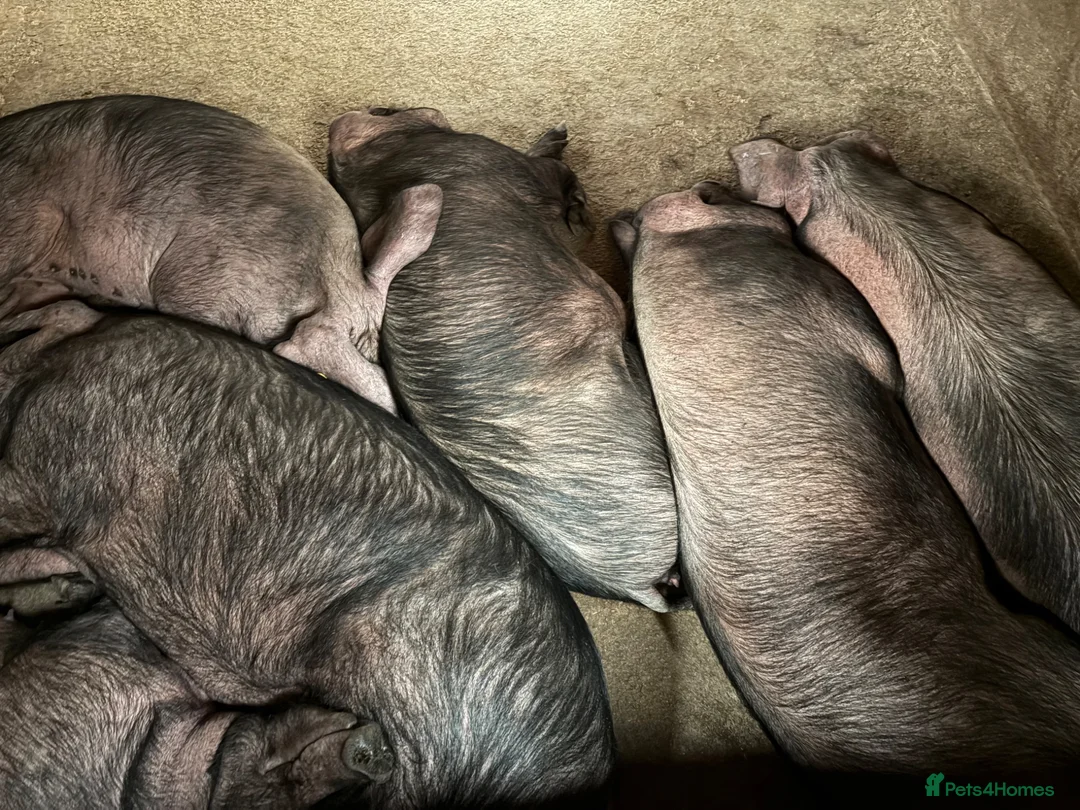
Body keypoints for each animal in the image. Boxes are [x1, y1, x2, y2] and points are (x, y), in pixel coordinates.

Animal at [326, 107, 678, 611]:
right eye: (386, 111)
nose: (371, 107)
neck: (376, 163)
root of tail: (631, 587)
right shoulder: (503, 162)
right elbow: (548, 170)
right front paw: (564, 155)